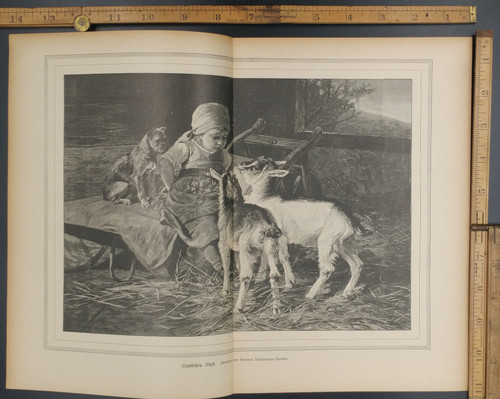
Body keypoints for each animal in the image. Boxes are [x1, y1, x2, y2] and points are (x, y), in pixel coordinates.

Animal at [235, 158, 364, 298]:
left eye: (257, 166)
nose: (241, 164)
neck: (264, 200)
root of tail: (351, 220)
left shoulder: (280, 237)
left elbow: (283, 257)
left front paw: (288, 283)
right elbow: (272, 256)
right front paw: (279, 281)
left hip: (326, 242)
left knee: (327, 269)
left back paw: (310, 295)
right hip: (343, 245)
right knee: (357, 264)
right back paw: (346, 293)